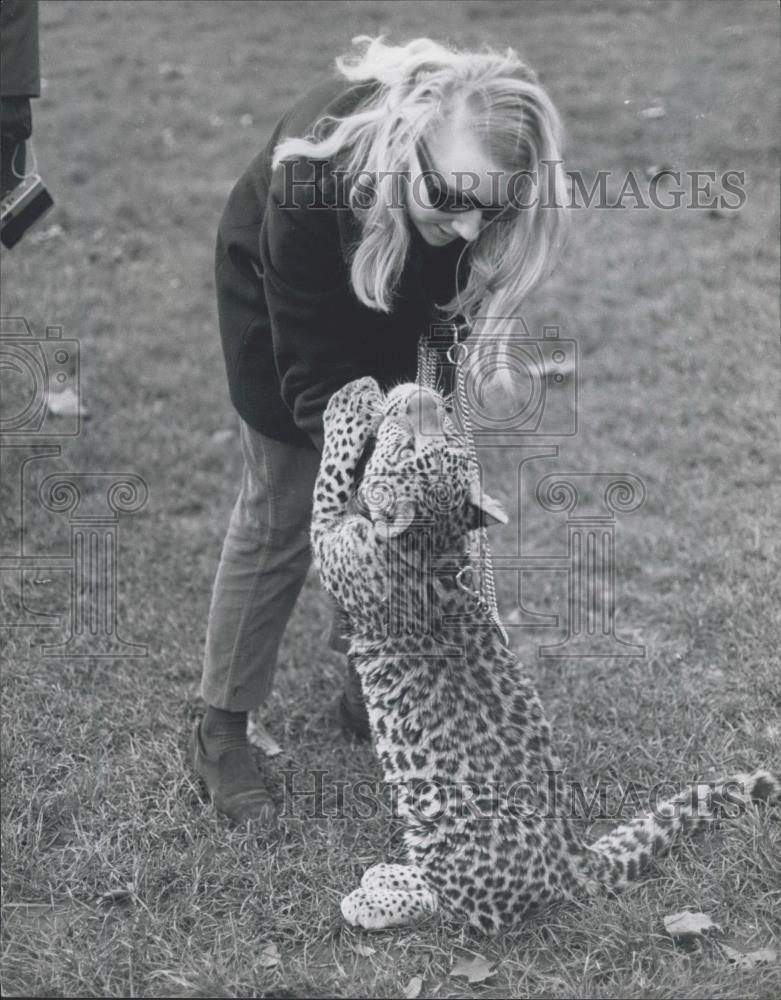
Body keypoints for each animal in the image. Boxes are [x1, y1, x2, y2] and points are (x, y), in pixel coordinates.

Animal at [310, 376, 772, 928]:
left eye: (436, 438)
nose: (423, 394)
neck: (433, 543)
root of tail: (574, 859)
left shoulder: (332, 548)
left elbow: (329, 478)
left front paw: (349, 403)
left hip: (445, 844)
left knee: (453, 908)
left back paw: (375, 897)